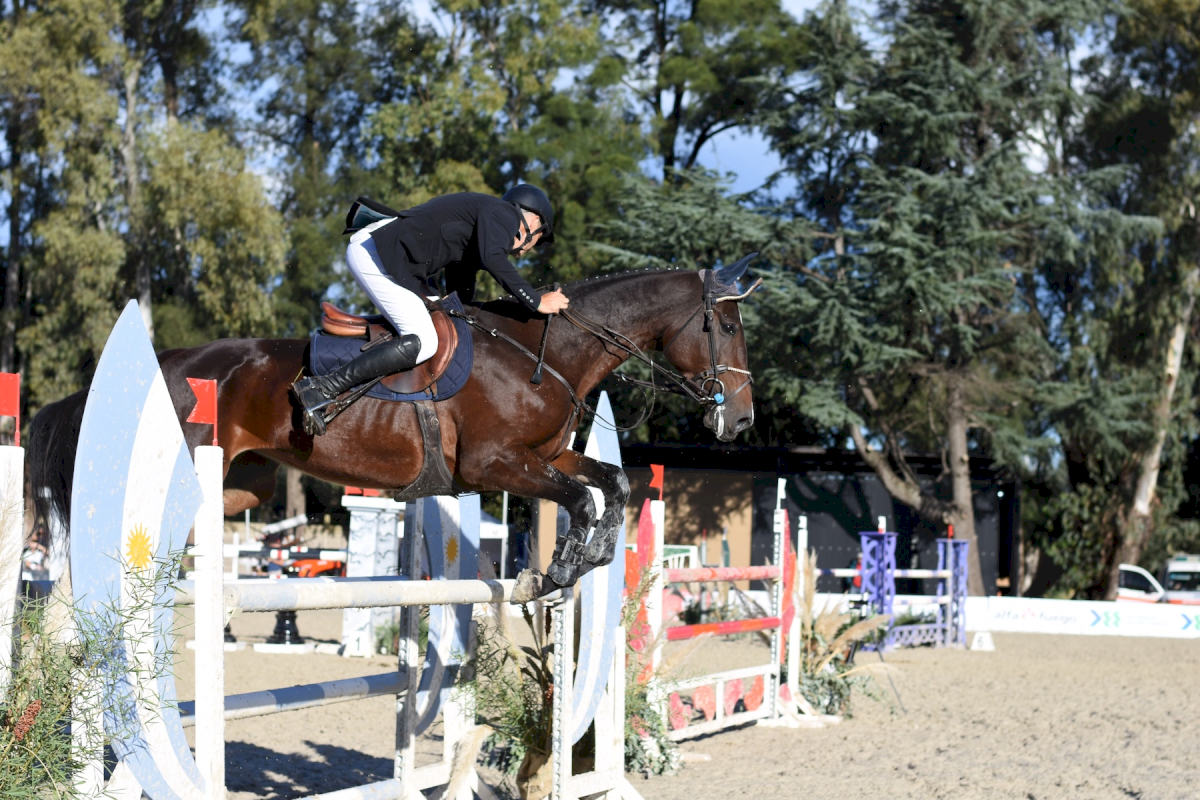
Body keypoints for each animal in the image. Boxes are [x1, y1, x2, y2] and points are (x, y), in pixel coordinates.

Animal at [28, 257, 758, 599]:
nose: (743, 418)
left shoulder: (543, 457)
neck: (544, 354)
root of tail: (169, 363)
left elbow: (612, 484)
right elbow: (582, 496)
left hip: (242, 488)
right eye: (725, 325)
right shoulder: (494, 464)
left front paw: (591, 557)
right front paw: (554, 573)